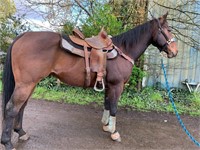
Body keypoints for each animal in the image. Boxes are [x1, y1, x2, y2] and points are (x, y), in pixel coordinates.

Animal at [1, 13, 177, 150]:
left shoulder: (109, 86)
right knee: (11, 108)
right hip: (26, 84)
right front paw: (114, 133)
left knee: (22, 107)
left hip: (30, 84)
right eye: (168, 30)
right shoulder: (117, 85)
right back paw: (8, 143)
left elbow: (107, 104)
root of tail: (23, 36)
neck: (124, 50)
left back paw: (21, 132)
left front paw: (106, 126)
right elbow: (114, 107)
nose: (174, 52)